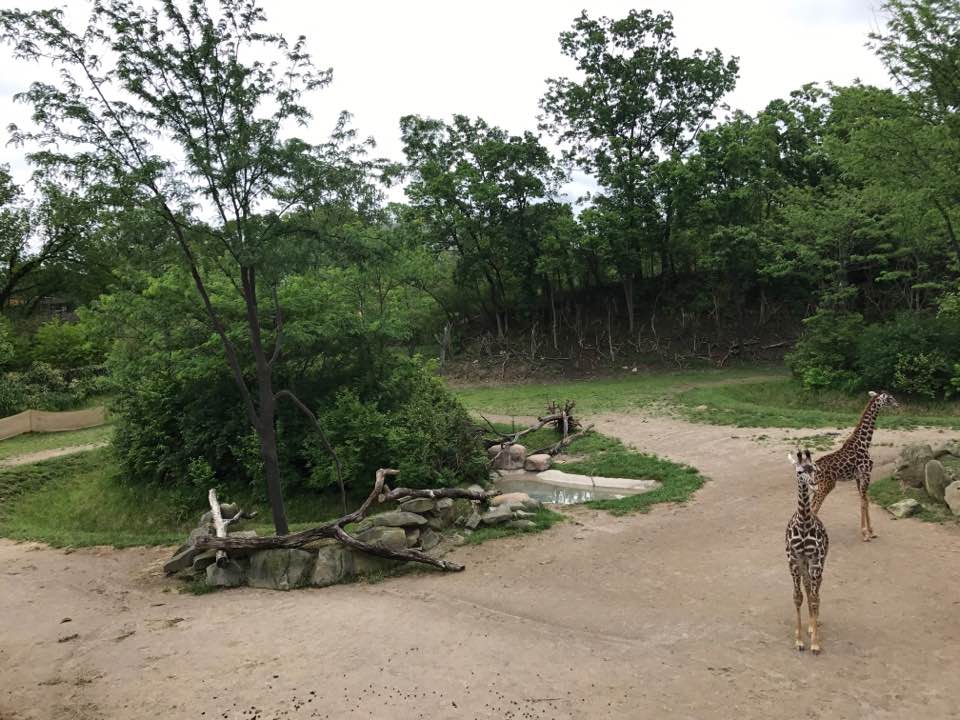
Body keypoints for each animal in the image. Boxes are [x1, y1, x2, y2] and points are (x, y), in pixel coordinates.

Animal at [810, 390, 899, 541]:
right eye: (890, 398)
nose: (898, 405)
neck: (864, 443)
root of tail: (813, 468)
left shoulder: (859, 477)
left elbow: (865, 501)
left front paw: (871, 531)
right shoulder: (866, 474)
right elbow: (863, 502)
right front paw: (865, 533)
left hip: (817, 487)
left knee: (809, 508)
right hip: (826, 485)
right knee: (815, 509)